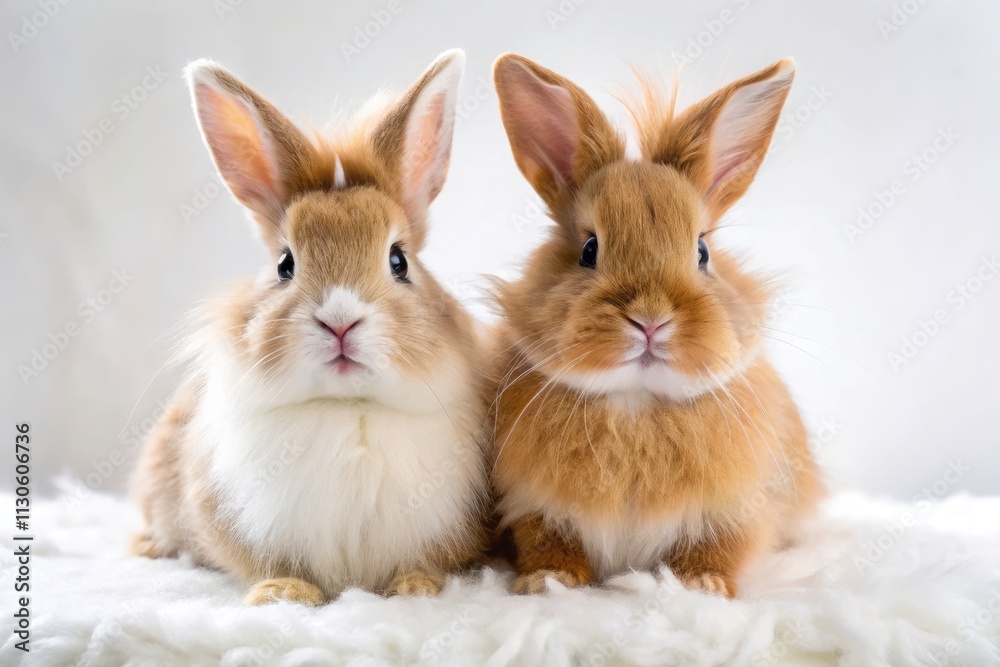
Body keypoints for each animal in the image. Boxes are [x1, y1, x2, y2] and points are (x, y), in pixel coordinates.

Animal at [129, 50, 491, 605]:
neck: (348, 410)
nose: (340, 320)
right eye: (285, 264)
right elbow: (262, 560)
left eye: (399, 261)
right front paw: (283, 593)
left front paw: (415, 588)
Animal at [488, 54, 825, 598]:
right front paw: (548, 581)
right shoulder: (534, 506)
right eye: (589, 250)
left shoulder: (736, 511)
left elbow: (718, 549)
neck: (637, 404)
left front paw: (702, 585)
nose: (650, 320)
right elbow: (549, 542)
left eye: (702, 252)